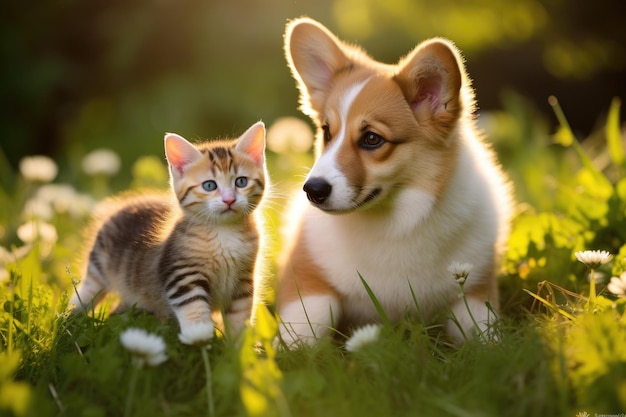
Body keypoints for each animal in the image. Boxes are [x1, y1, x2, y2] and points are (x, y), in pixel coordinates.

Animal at [69, 121, 266, 342]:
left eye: (241, 182)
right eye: (209, 185)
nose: (229, 200)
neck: (224, 231)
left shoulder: (244, 281)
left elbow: (239, 317)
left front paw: (238, 347)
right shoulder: (182, 273)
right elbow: (193, 306)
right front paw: (200, 338)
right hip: (98, 268)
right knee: (86, 293)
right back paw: (69, 321)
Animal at [278, 17, 512, 344]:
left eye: (372, 139)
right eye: (327, 132)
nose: (312, 190)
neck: (392, 223)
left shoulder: (475, 289)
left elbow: (483, 336)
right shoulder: (306, 277)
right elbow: (310, 324)